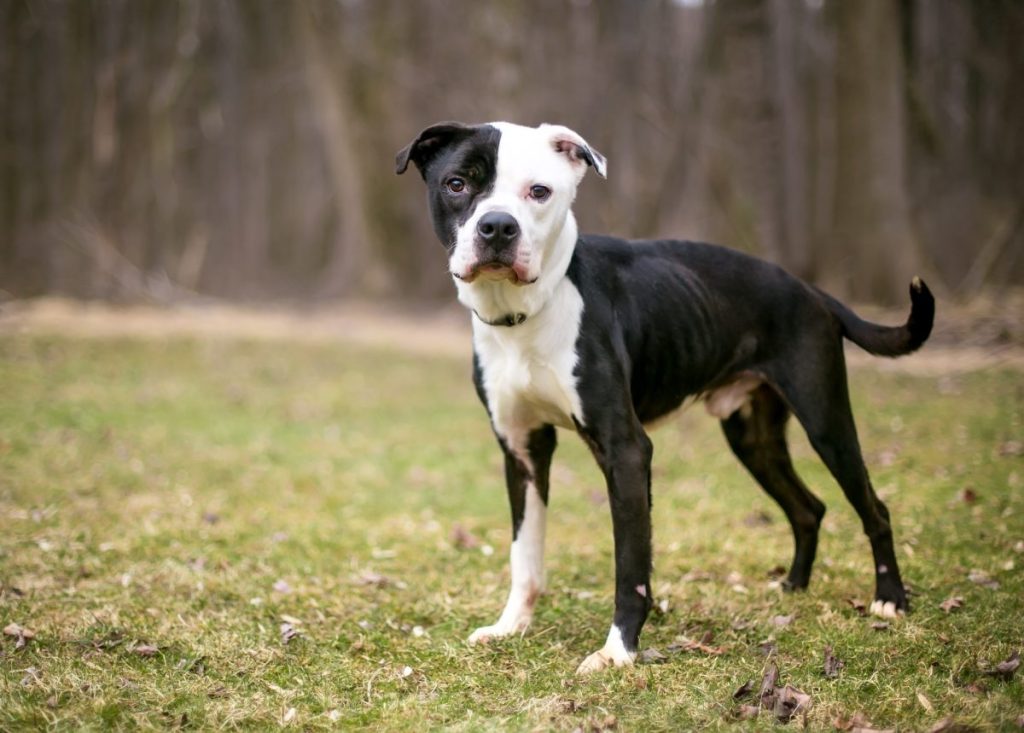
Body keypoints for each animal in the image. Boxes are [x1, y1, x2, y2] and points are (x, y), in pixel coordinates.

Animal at [393, 121, 937, 675]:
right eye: (457, 184)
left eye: (539, 192)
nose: (498, 227)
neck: (528, 310)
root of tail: (811, 291)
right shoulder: (522, 450)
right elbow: (525, 554)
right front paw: (510, 628)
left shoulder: (626, 451)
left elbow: (631, 565)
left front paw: (618, 652)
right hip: (753, 439)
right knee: (809, 508)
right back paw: (793, 587)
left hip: (826, 422)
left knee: (874, 508)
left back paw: (890, 600)